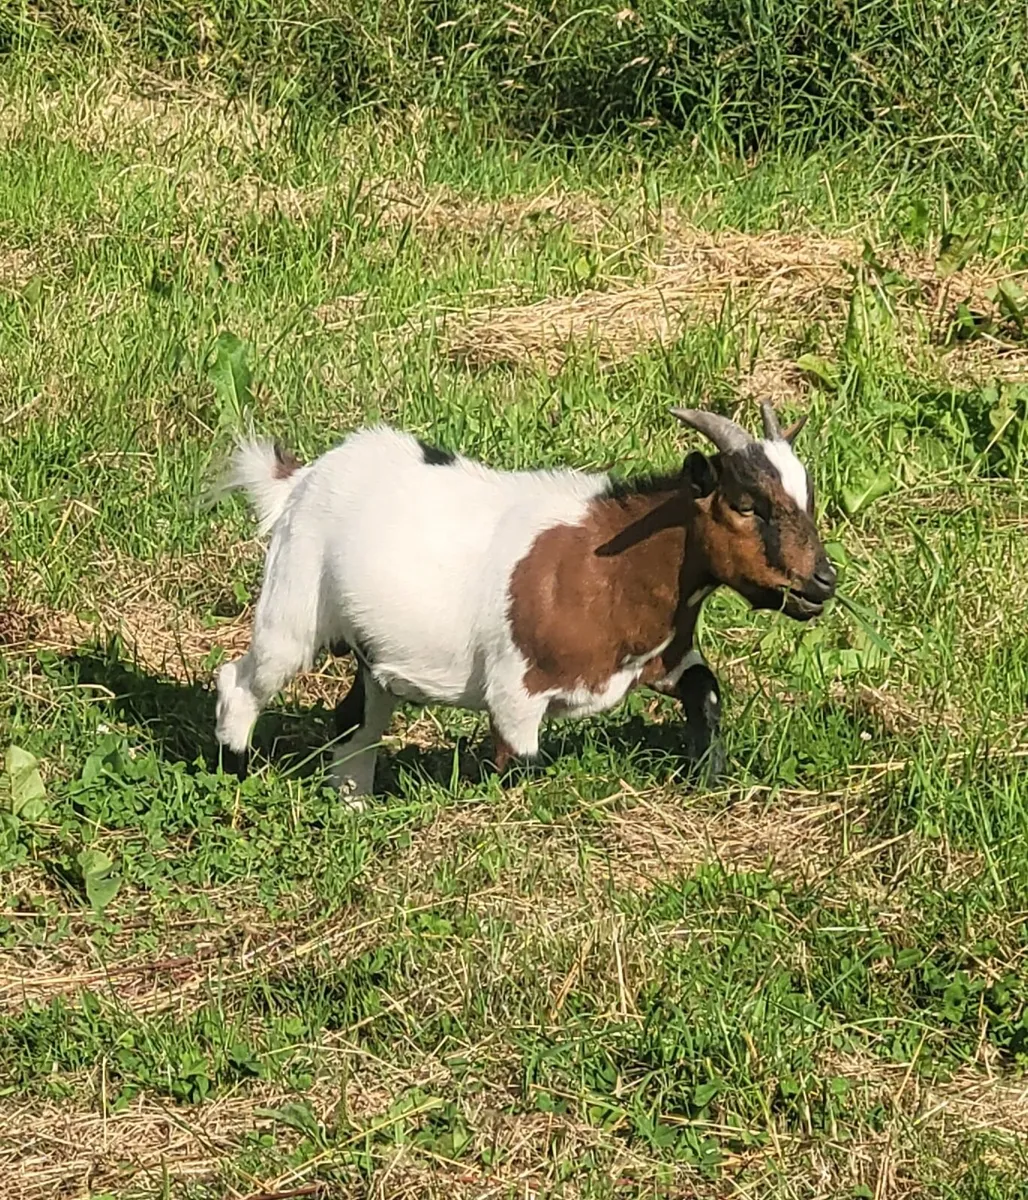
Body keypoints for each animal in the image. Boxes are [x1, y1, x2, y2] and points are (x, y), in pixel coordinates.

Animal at [213, 403, 836, 795]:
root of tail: (300, 480)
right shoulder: (515, 692)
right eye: (748, 505)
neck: (608, 565)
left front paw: (708, 782)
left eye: (808, 499)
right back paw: (233, 774)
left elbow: (705, 691)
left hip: (373, 653)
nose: (822, 582)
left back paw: (352, 805)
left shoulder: (663, 656)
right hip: (293, 604)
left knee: (355, 720)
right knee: (241, 681)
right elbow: (520, 769)